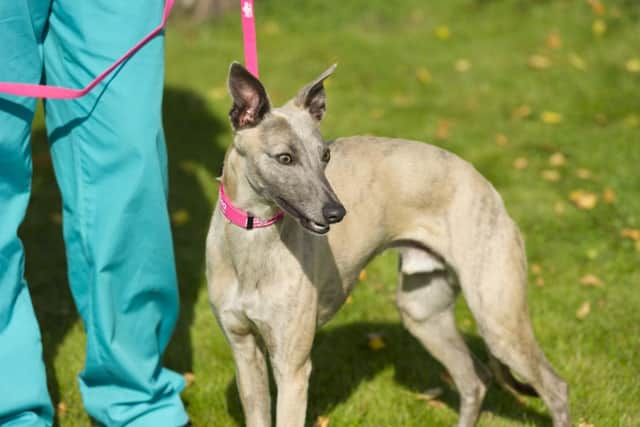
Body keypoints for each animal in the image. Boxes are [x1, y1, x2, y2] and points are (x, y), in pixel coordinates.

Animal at [205, 63, 568, 427]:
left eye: (325, 155)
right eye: (285, 158)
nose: (336, 212)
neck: (253, 239)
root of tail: (485, 184)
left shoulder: (292, 368)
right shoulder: (244, 352)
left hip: (497, 318)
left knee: (556, 388)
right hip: (423, 313)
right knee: (475, 380)